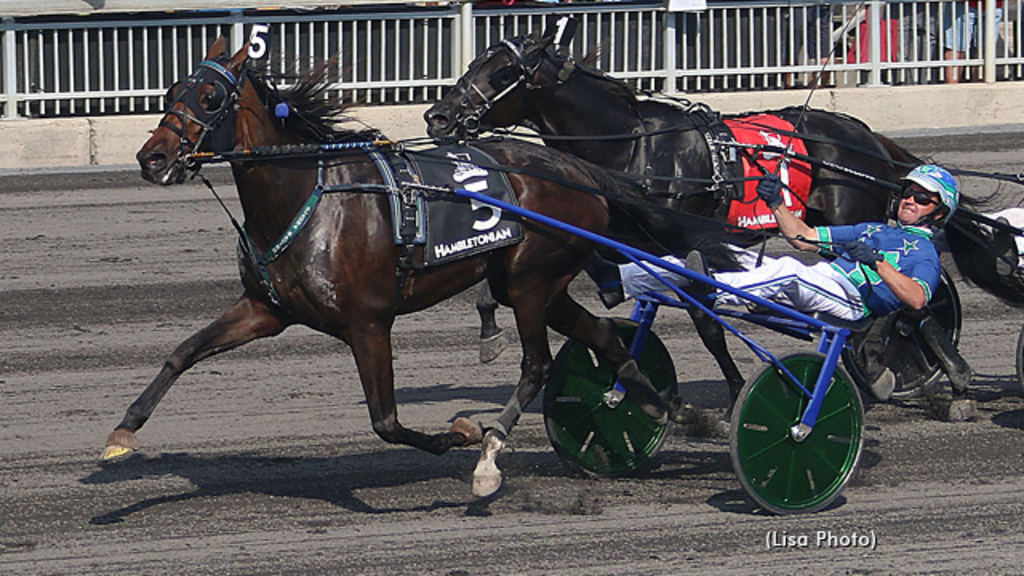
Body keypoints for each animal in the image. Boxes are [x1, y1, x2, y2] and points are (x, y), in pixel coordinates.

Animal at [114, 36, 720, 494]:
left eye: (210, 95)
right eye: (172, 90)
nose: (153, 158)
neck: (312, 199)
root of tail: (577, 169)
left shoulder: (368, 323)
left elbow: (386, 421)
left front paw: (463, 434)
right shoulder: (266, 309)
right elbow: (183, 352)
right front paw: (122, 432)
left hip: (531, 279)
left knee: (538, 366)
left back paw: (490, 454)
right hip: (534, 283)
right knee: (605, 337)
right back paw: (675, 412)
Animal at [419, 25, 925, 399]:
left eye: (502, 71)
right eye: (474, 62)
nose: (437, 117)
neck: (633, 147)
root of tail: (866, 136)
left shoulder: (678, 243)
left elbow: (706, 320)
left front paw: (736, 389)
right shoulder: (608, 234)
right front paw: (490, 329)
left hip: (847, 220)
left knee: (893, 295)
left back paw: (886, 360)